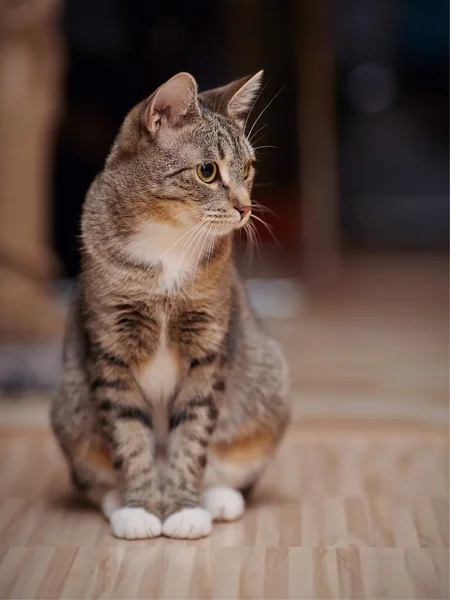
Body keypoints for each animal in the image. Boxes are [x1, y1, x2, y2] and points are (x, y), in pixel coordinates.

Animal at [51, 71, 290, 540]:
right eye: (207, 171)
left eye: (247, 169)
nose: (245, 208)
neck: (168, 242)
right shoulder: (110, 348)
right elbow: (128, 435)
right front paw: (140, 508)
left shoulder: (208, 346)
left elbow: (193, 434)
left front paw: (183, 509)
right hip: (69, 411)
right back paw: (119, 500)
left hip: (270, 389)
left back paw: (218, 498)